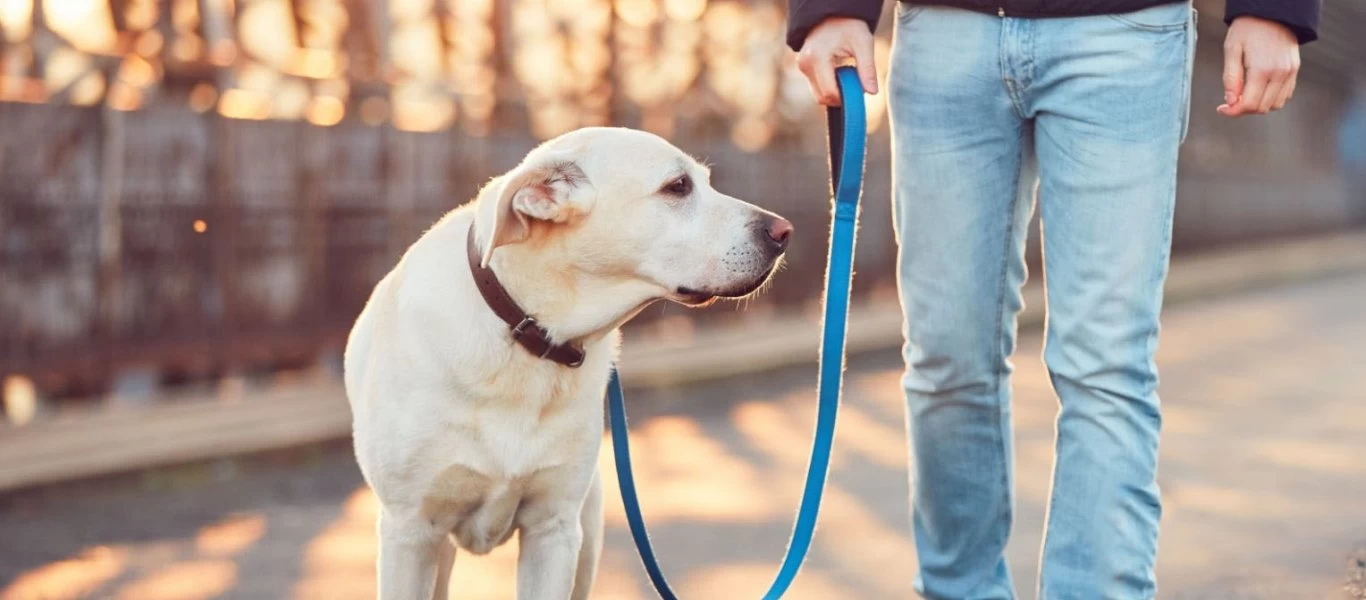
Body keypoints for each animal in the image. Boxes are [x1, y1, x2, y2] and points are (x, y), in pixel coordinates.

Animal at [341, 127, 792, 600]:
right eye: (678, 187)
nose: (784, 232)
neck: (527, 336)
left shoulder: (553, 530)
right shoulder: (409, 533)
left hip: (586, 533)